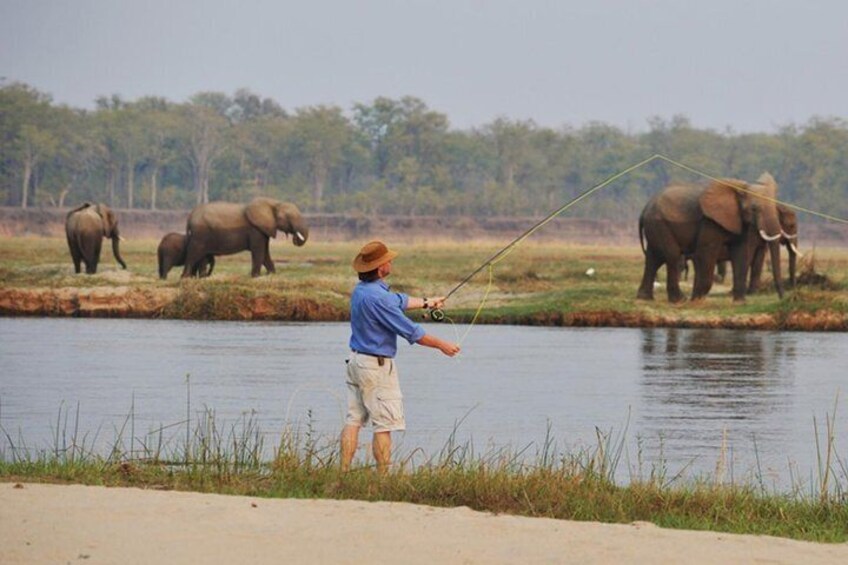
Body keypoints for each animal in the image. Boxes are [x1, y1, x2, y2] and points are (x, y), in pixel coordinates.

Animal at [640, 173, 784, 302]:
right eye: (754, 208)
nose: (782, 298)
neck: (741, 188)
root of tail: (645, 208)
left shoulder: (739, 220)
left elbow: (741, 252)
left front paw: (740, 302)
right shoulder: (709, 222)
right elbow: (707, 252)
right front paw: (696, 300)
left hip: (654, 227)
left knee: (654, 258)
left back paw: (645, 298)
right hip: (659, 224)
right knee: (672, 256)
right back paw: (680, 300)